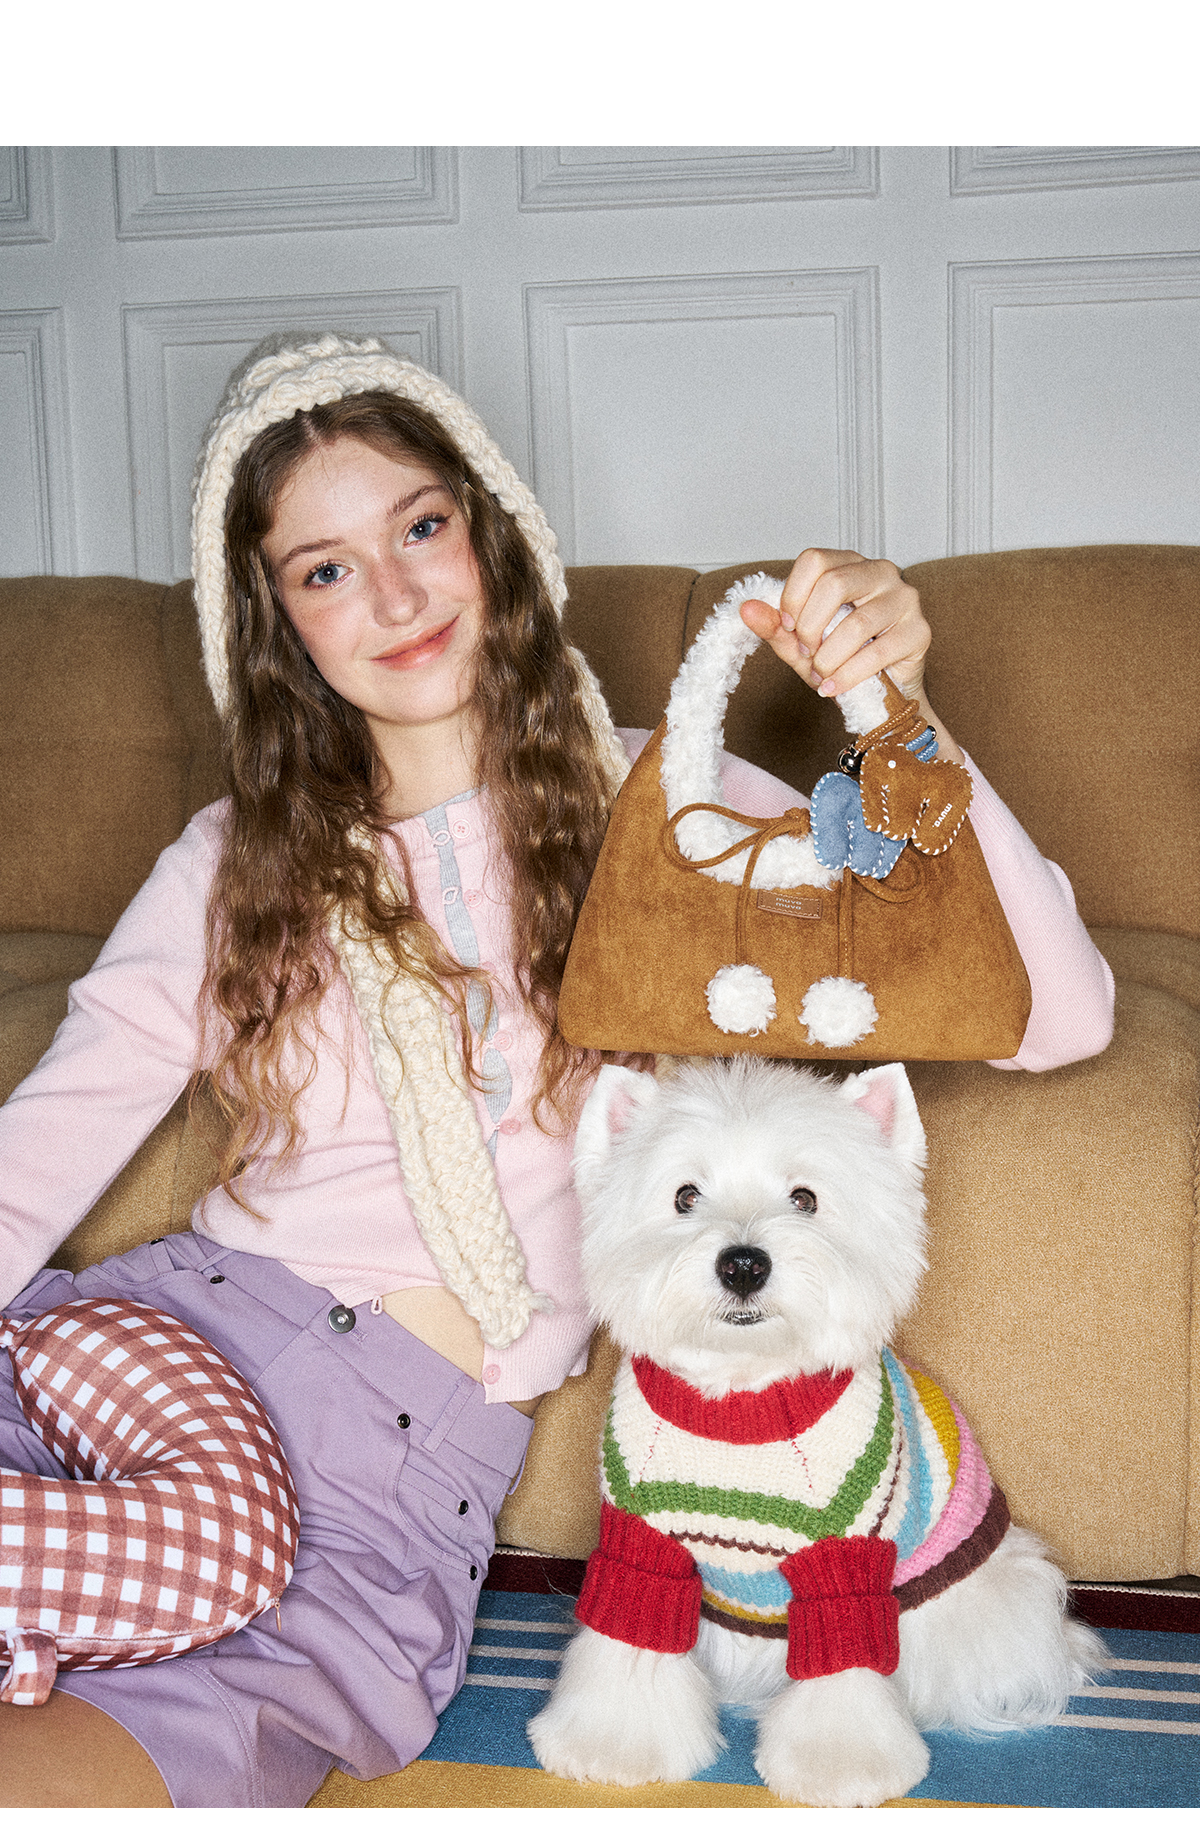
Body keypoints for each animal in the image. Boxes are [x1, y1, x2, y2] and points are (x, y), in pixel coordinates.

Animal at [527, 1057, 1106, 1807]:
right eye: (685, 1195)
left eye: (804, 1198)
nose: (744, 1263)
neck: (743, 1398)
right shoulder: (643, 1547)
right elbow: (629, 1643)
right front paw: (611, 1745)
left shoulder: (842, 1563)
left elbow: (844, 1670)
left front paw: (843, 1768)